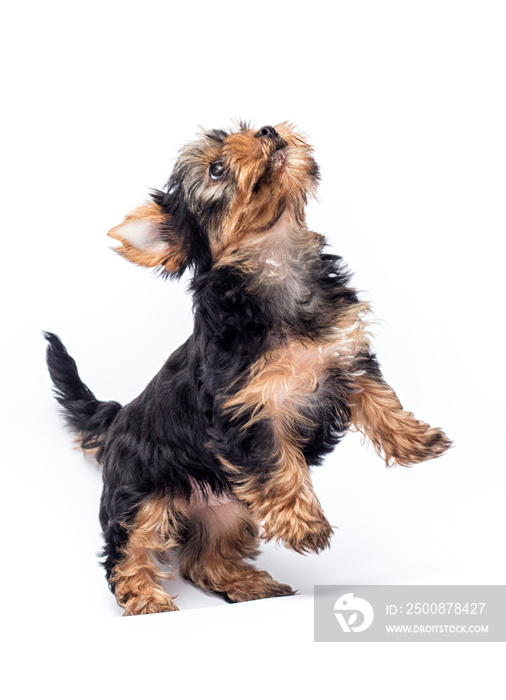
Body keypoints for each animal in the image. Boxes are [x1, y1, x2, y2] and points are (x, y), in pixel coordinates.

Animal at [45, 123, 452, 616]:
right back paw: (147, 600)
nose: (269, 131)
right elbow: (277, 463)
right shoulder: (247, 409)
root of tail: (118, 419)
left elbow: (379, 400)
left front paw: (415, 440)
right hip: (141, 495)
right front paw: (305, 524)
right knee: (130, 549)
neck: (274, 262)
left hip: (229, 507)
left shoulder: (344, 357)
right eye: (216, 169)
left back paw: (250, 585)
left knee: (205, 560)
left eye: (249, 130)